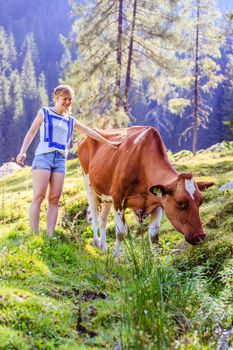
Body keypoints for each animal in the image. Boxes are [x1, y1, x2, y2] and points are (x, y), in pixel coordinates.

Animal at [77, 126, 214, 258]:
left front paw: (156, 262)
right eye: (180, 202)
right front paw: (114, 258)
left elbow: (153, 235)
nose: (200, 237)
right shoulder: (117, 197)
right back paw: (96, 243)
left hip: (106, 195)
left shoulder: (158, 202)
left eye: (201, 202)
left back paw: (104, 248)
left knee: (103, 219)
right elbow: (121, 232)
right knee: (94, 216)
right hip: (88, 185)